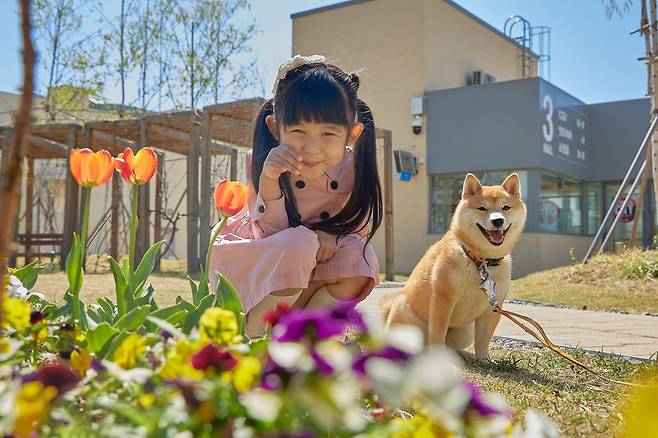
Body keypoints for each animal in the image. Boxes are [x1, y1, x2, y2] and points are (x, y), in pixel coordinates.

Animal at [380, 173, 524, 362]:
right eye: (482, 208)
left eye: (506, 207)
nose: (498, 220)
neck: (480, 261)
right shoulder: (443, 299)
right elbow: (438, 334)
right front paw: (439, 360)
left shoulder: (493, 307)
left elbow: (483, 340)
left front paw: (483, 359)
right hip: (407, 315)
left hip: (465, 331)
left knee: (452, 347)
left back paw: (465, 356)